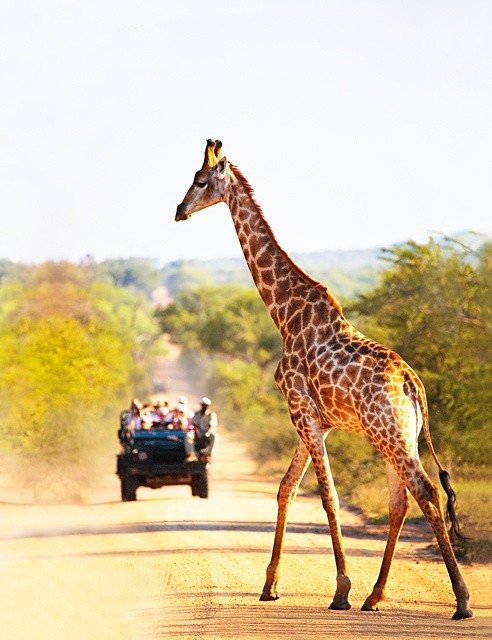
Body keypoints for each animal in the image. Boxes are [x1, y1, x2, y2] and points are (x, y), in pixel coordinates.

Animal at [174, 139, 472, 620]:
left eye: (200, 181)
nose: (179, 210)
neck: (284, 314)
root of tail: (413, 383)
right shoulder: (316, 419)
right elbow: (285, 489)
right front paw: (269, 586)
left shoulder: (302, 412)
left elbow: (326, 496)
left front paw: (341, 589)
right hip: (396, 435)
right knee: (400, 501)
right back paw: (375, 596)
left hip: (388, 434)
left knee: (425, 491)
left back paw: (460, 600)